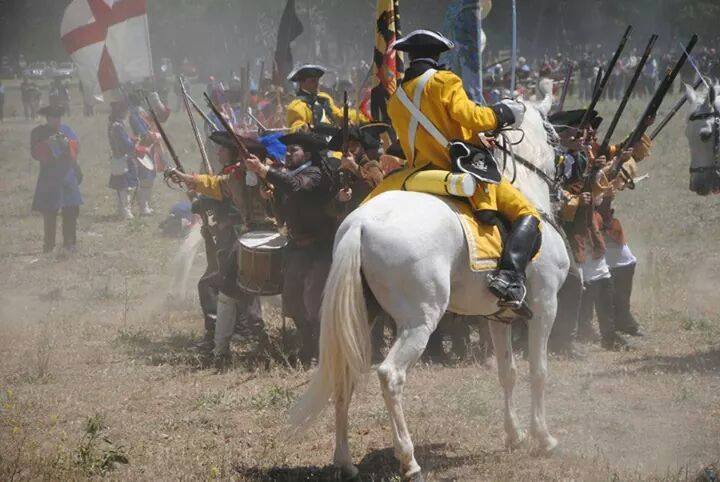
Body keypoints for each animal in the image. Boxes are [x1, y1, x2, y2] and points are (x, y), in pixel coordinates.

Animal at [289, 91, 569, 480]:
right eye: (553, 134)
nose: (565, 174)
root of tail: (359, 223)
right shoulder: (545, 307)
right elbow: (538, 372)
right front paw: (544, 439)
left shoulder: (499, 318)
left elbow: (508, 373)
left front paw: (514, 435)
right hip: (419, 322)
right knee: (390, 375)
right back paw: (408, 460)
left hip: (361, 316)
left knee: (344, 375)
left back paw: (344, 461)